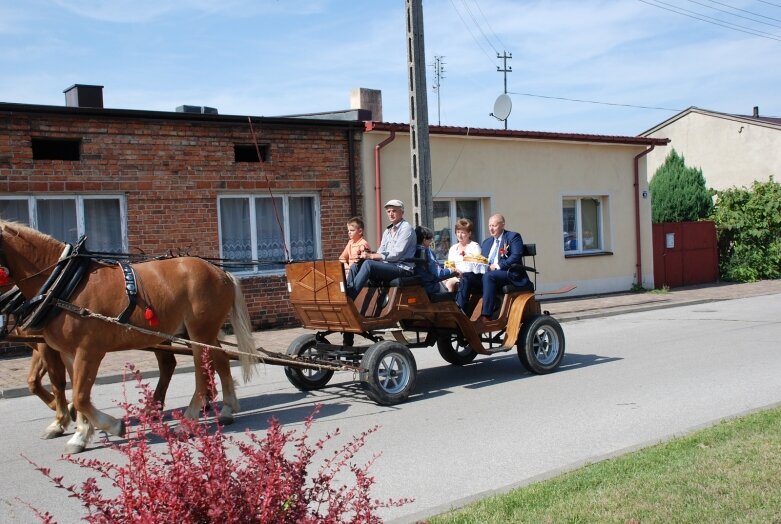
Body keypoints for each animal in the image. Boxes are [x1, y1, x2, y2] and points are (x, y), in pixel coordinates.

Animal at [0, 219, 258, 452]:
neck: (62, 284)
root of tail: (220, 272)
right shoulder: (68, 352)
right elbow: (74, 390)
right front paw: (80, 434)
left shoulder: (88, 350)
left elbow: (80, 395)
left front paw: (111, 426)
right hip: (202, 332)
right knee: (220, 360)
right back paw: (227, 409)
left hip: (200, 331)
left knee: (202, 373)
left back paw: (188, 420)